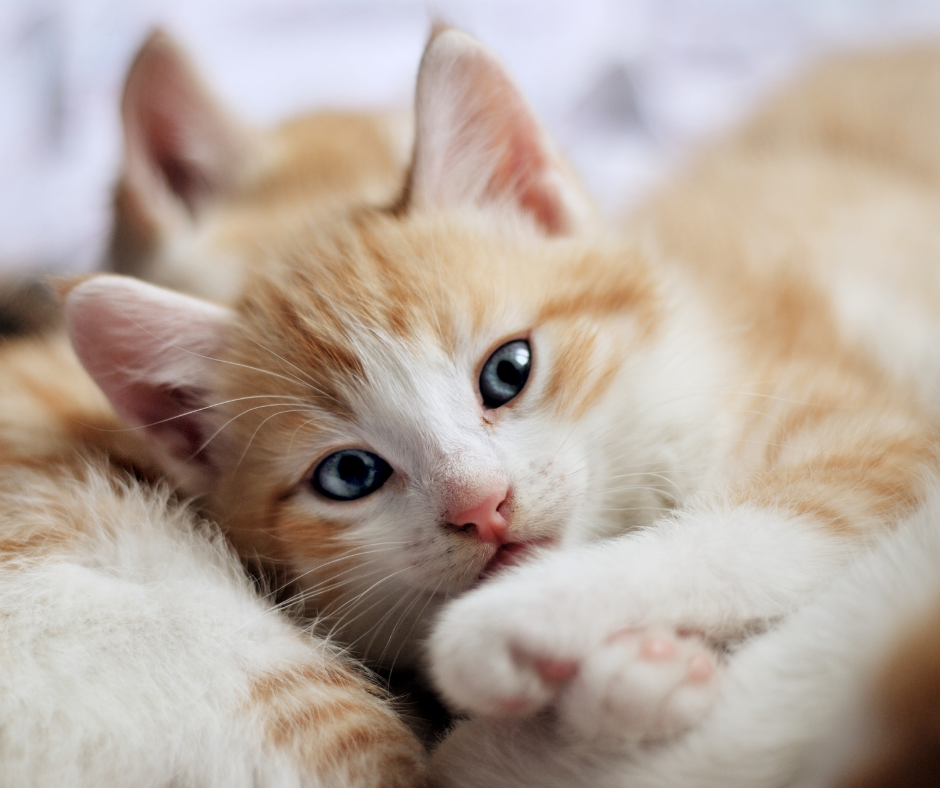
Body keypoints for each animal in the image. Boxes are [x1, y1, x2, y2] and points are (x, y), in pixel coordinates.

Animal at [68, 26, 940, 780]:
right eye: (350, 475)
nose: (482, 505)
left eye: (507, 371)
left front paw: (518, 623)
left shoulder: (876, 426)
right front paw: (629, 683)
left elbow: (768, 526)